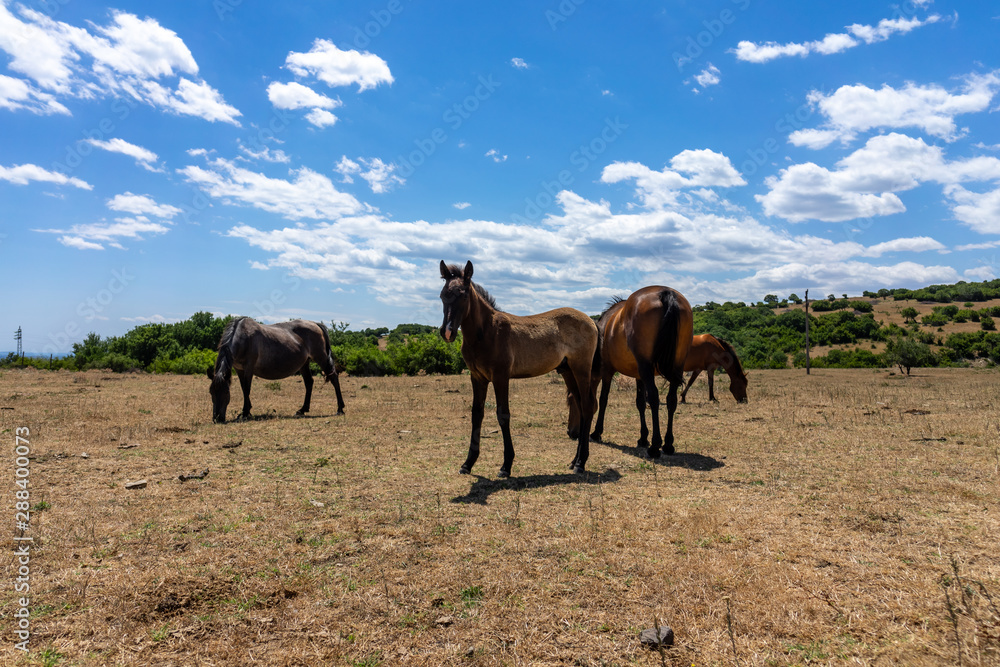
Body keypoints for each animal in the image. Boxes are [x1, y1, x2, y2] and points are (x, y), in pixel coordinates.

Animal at [208, 317, 346, 424]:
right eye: (211, 392)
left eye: (226, 392)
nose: (218, 418)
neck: (243, 337)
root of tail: (315, 323)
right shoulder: (239, 369)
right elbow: (243, 389)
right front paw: (247, 410)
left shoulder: (249, 368)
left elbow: (247, 389)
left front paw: (245, 413)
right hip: (304, 364)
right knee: (309, 382)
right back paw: (302, 410)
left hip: (321, 357)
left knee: (334, 378)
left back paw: (340, 409)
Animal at [439, 260, 600, 478]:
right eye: (442, 295)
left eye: (464, 295)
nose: (447, 332)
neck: (486, 332)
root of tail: (592, 321)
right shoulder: (477, 377)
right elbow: (477, 414)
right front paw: (467, 463)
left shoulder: (500, 377)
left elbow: (503, 415)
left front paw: (506, 466)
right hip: (568, 372)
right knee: (581, 406)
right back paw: (575, 460)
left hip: (581, 369)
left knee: (588, 405)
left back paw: (581, 463)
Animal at [566, 286, 693, 458]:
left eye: (571, 401)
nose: (571, 432)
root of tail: (665, 292)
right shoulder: (639, 376)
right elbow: (640, 403)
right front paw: (643, 438)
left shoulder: (607, 371)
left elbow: (603, 399)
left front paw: (597, 432)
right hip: (675, 366)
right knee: (671, 400)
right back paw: (668, 444)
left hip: (647, 367)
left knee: (654, 397)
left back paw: (655, 446)